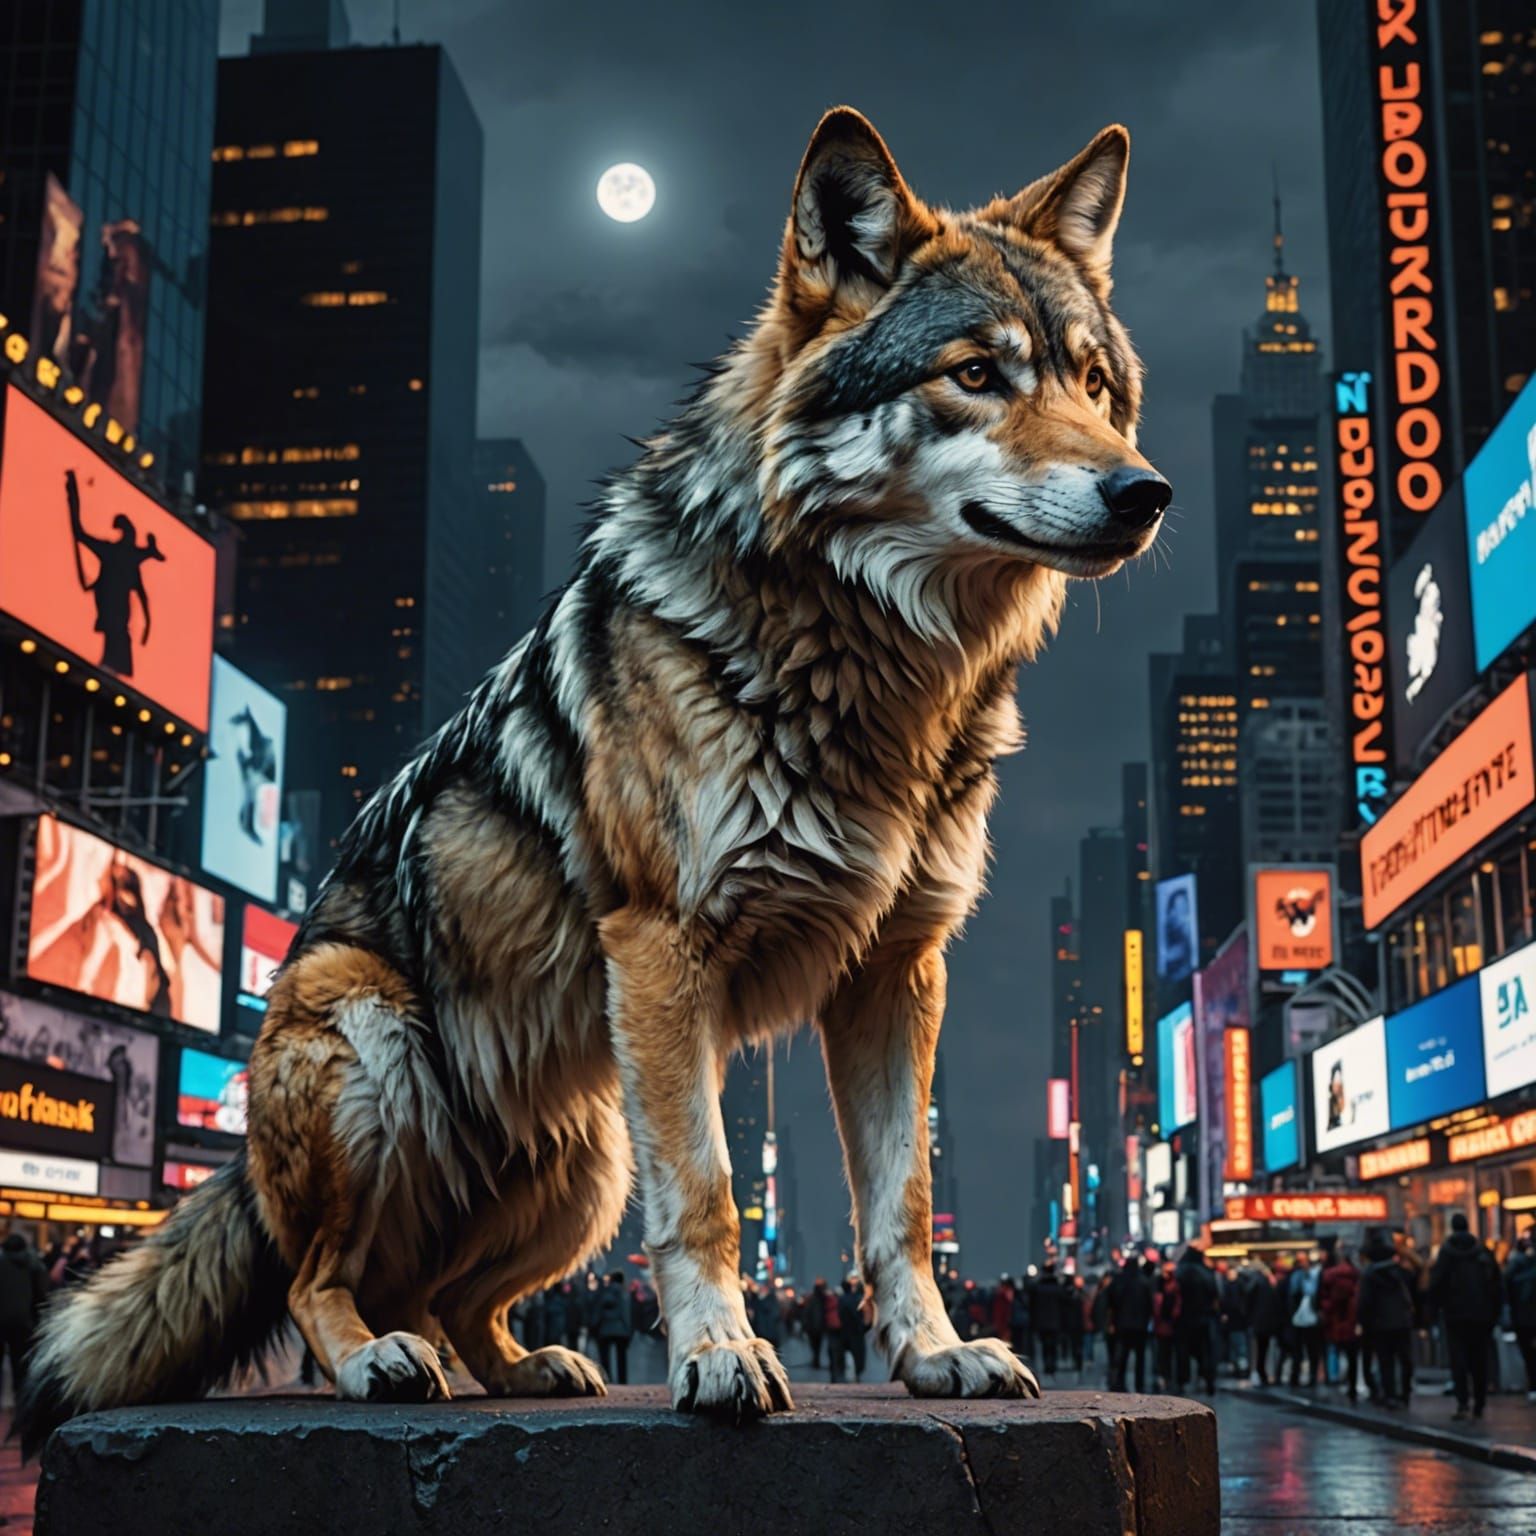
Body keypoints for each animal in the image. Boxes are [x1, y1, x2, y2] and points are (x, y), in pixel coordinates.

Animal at [18, 106, 1167, 1446]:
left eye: (1095, 387)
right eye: (976, 374)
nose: (1145, 492)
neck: (874, 665)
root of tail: (245, 1164)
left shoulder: (895, 971)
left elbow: (903, 1205)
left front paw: (935, 1356)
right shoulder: (665, 951)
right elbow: (713, 1199)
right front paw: (720, 1358)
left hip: (588, 1165)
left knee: (445, 1297)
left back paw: (522, 1365)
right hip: (376, 1041)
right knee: (323, 1286)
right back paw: (377, 1363)